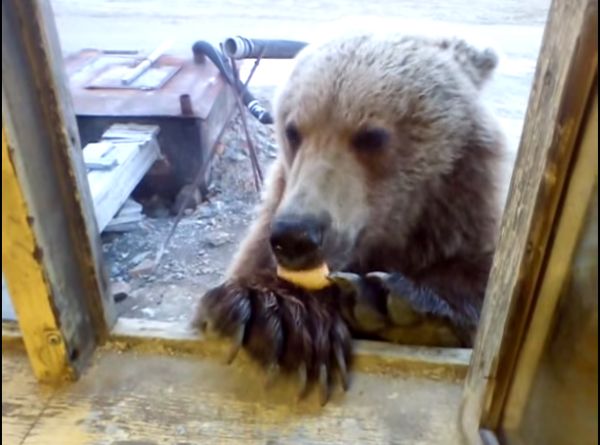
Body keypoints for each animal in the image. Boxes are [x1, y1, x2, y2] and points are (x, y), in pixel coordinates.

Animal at [193, 33, 506, 404]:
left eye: (371, 136)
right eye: (293, 131)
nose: (295, 235)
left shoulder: (465, 225)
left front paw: (393, 303)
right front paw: (283, 317)